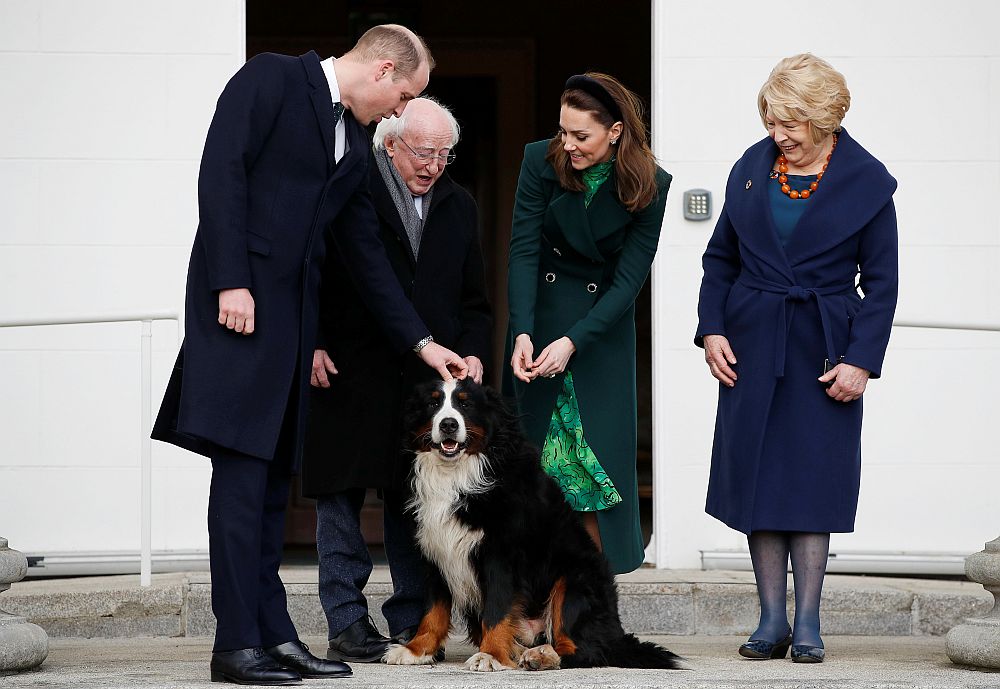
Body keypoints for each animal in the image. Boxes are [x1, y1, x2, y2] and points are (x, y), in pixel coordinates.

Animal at [382, 376, 680, 672]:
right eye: (433, 404)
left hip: (575, 580)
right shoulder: (436, 550)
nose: (448, 424)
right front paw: (416, 650)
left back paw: (541, 656)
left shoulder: (500, 555)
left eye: (465, 405)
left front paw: (490, 655)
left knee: (584, 650)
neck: (457, 474)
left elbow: (497, 610)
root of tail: (615, 633)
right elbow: (433, 611)